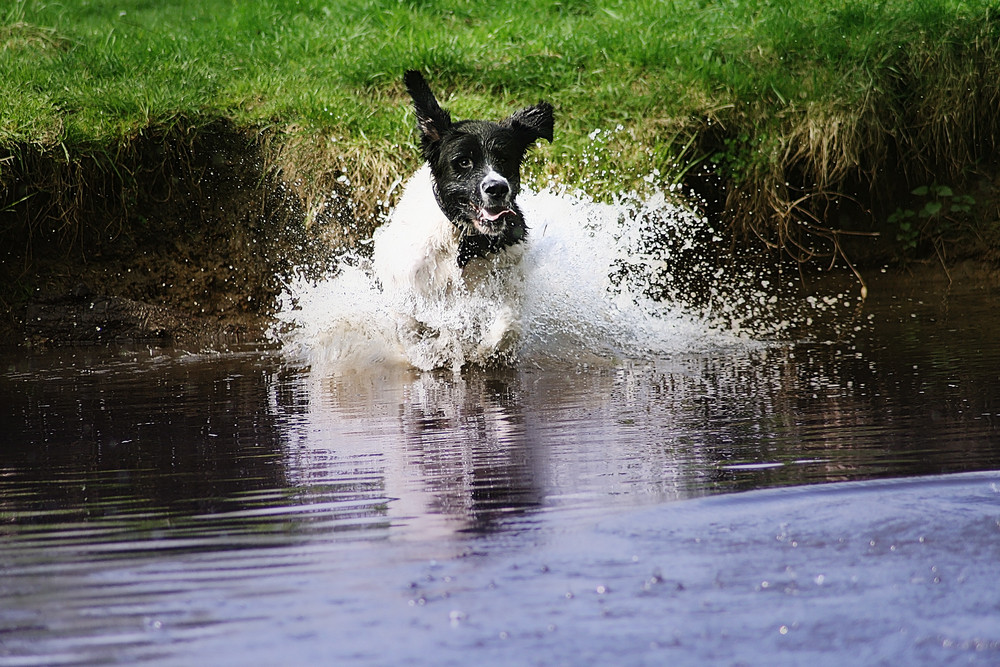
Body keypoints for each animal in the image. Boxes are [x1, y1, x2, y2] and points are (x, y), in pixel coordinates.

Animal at [372, 71, 556, 366]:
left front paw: (487, 349)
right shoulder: (408, 281)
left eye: (504, 158)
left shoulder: (507, 273)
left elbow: (509, 321)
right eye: (463, 162)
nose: (497, 188)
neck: (462, 239)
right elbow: (412, 327)